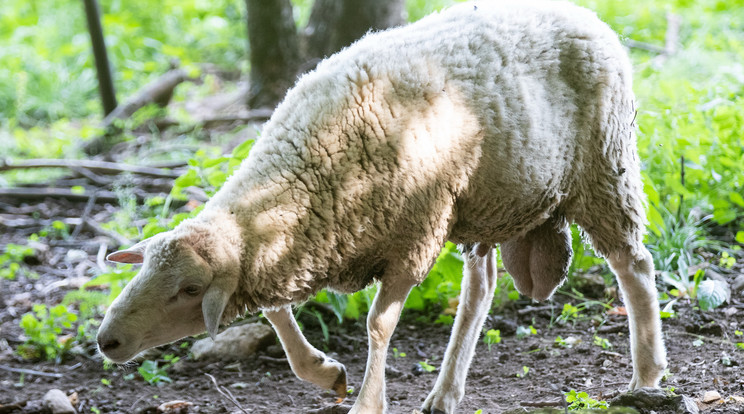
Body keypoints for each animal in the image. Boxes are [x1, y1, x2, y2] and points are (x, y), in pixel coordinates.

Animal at [97, 1, 668, 412]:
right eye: (145, 271)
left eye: (191, 290)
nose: (107, 341)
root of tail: (587, 15)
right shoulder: (296, 248)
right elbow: (277, 310)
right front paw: (324, 373)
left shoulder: (411, 236)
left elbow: (377, 325)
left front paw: (367, 403)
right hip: (481, 202)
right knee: (481, 287)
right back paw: (445, 394)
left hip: (604, 168)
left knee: (634, 265)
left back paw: (646, 375)